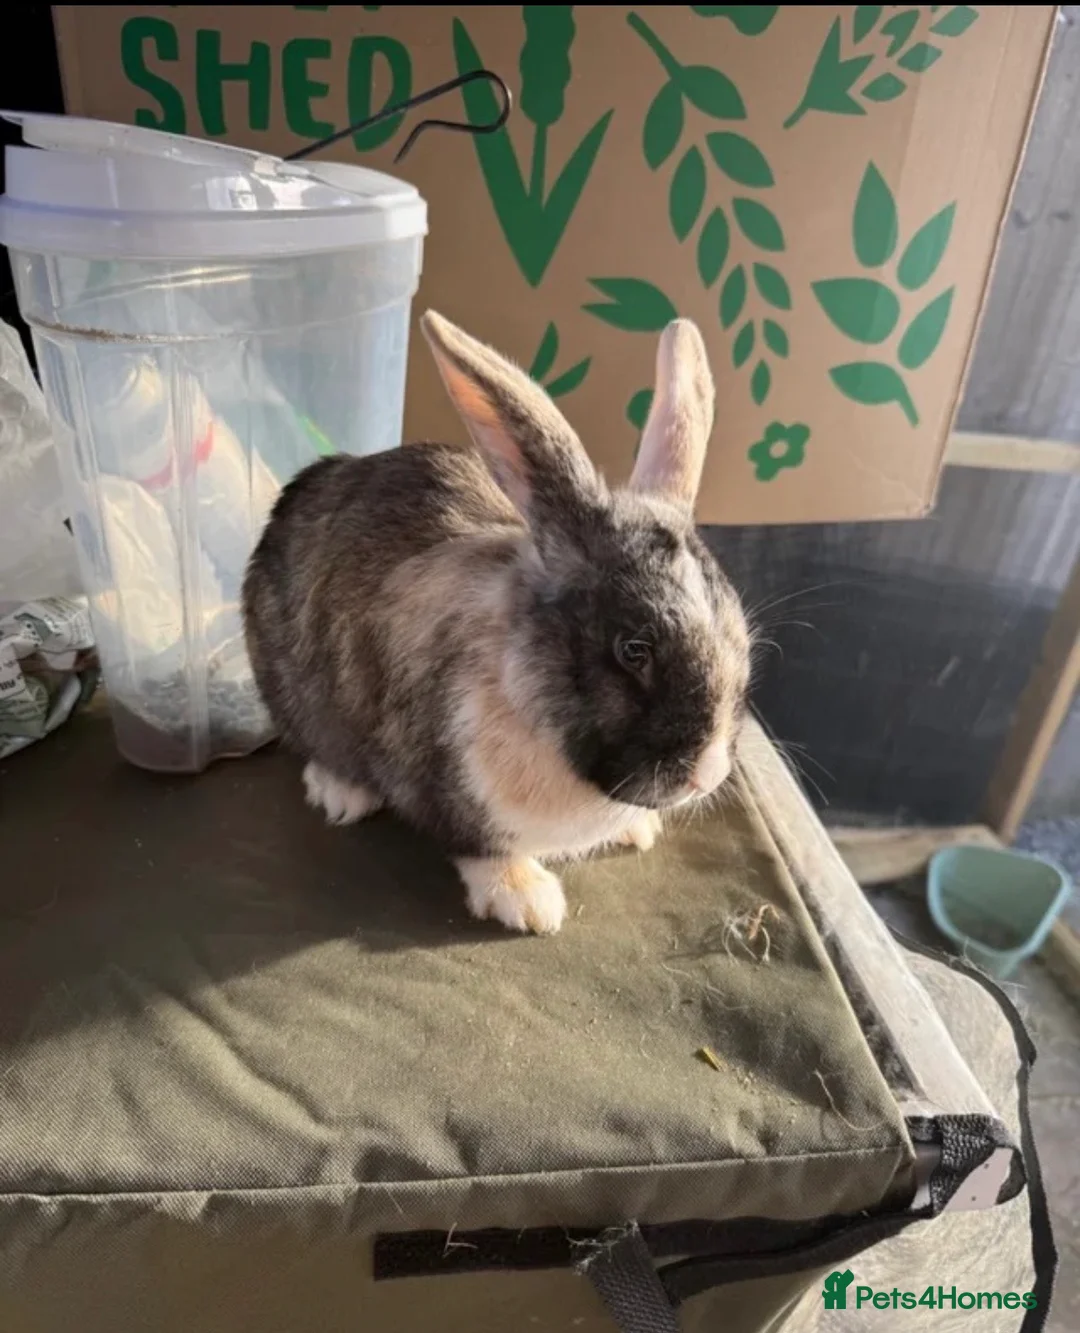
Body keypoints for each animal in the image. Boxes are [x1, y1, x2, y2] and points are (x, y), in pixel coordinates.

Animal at [242, 310, 751, 935]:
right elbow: (481, 849)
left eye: (742, 640)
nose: (706, 774)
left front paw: (639, 831)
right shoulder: (442, 788)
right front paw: (529, 903)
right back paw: (341, 793)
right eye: (633, 650)